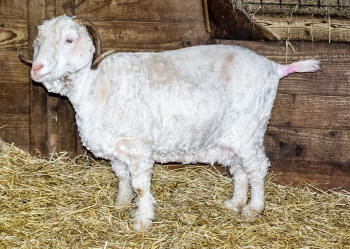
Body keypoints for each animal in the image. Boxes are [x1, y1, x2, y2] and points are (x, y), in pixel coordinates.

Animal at [18, 13, 320, 231]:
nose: (37, 69)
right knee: (240, 169)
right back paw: (234, 203)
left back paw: (253, 208)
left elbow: (141, 186)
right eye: (39, 41)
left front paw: (142, 221)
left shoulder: (139, 149)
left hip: (249, 130)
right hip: (230, 137)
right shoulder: (117, 149)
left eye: (69, 40)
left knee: (257, 168)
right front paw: (120, 204)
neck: (95, 82)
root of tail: (274, 68)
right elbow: (122, 177)